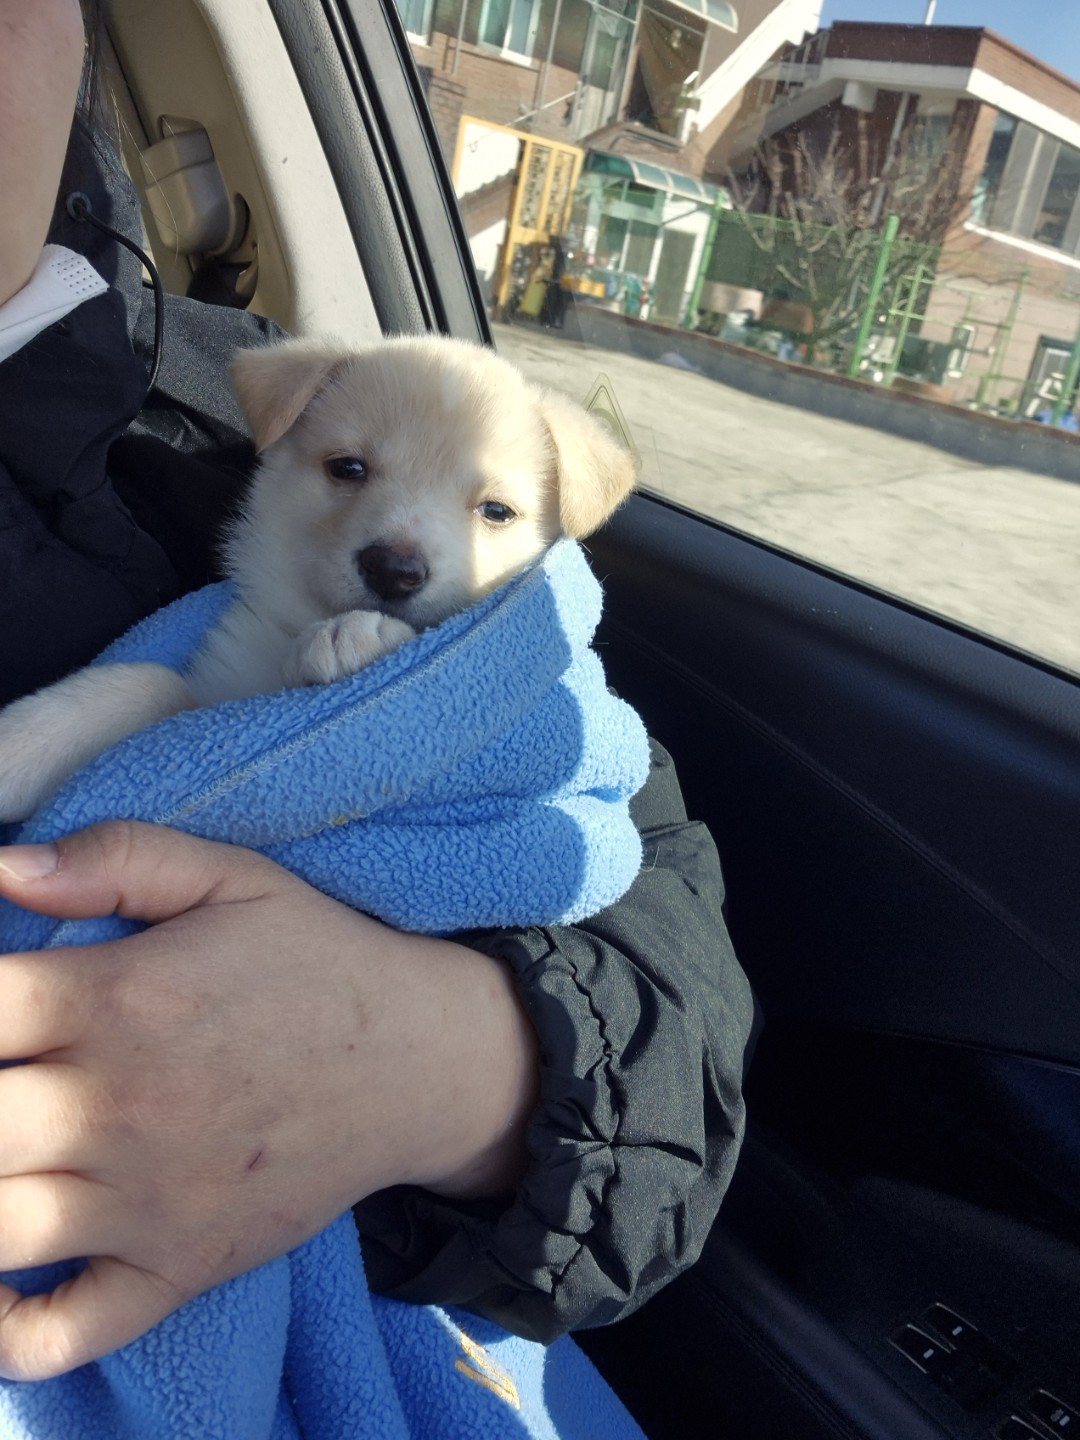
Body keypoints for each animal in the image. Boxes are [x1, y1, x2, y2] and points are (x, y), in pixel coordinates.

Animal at [0, 335, 637, 824]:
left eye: (497, 511)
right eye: (348, 468)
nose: (393, 569)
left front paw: (357, 635)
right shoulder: (219, 696)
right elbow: (147, 683)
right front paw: (22, 743)